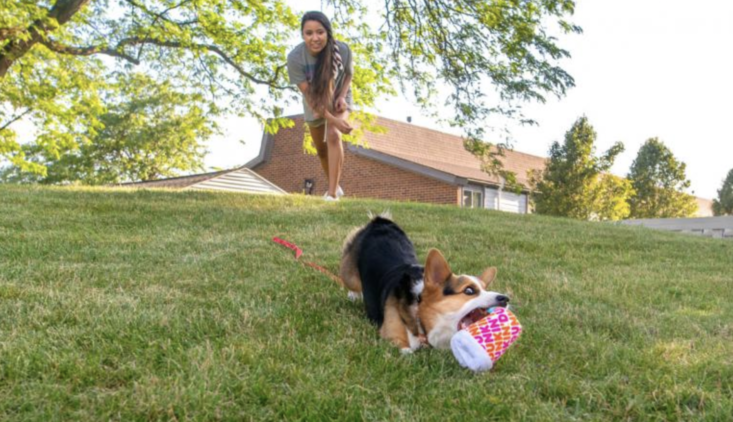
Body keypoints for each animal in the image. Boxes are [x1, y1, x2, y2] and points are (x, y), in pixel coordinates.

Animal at [338, 214, 506, 352]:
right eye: (469, 290)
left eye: (485, 289)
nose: (505, 298)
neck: (418, 310)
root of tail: (380, 222)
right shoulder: (391, 335)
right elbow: (406, 350)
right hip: (349, 274)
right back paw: (353, 295)